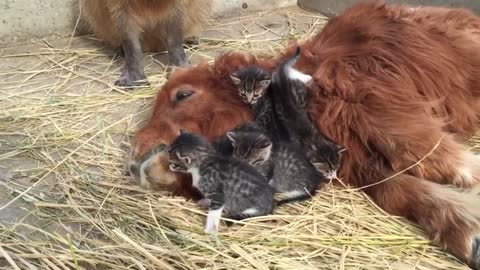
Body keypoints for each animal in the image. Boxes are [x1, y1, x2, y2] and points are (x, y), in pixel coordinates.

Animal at [270, 46, 344, 179]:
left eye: (337, 167)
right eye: (328, 171)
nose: (334, 176)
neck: (316, 143)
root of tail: (282, 78)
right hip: (299, 90)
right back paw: (308, 77)